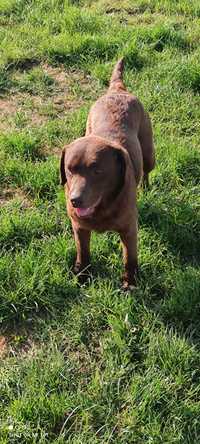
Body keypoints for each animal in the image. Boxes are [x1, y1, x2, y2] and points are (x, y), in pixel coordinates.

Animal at [60, 58, 155, 288]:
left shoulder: (129, 229)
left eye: (98, 170)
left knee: (147, 171)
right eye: (69, 170)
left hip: (149, 152)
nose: (75, 200)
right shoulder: (79, 227)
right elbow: (83, 253)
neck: (101, 208)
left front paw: (130, 284)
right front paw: (82, 276)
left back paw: (146, 187)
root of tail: (117, 90)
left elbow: (130, 258)